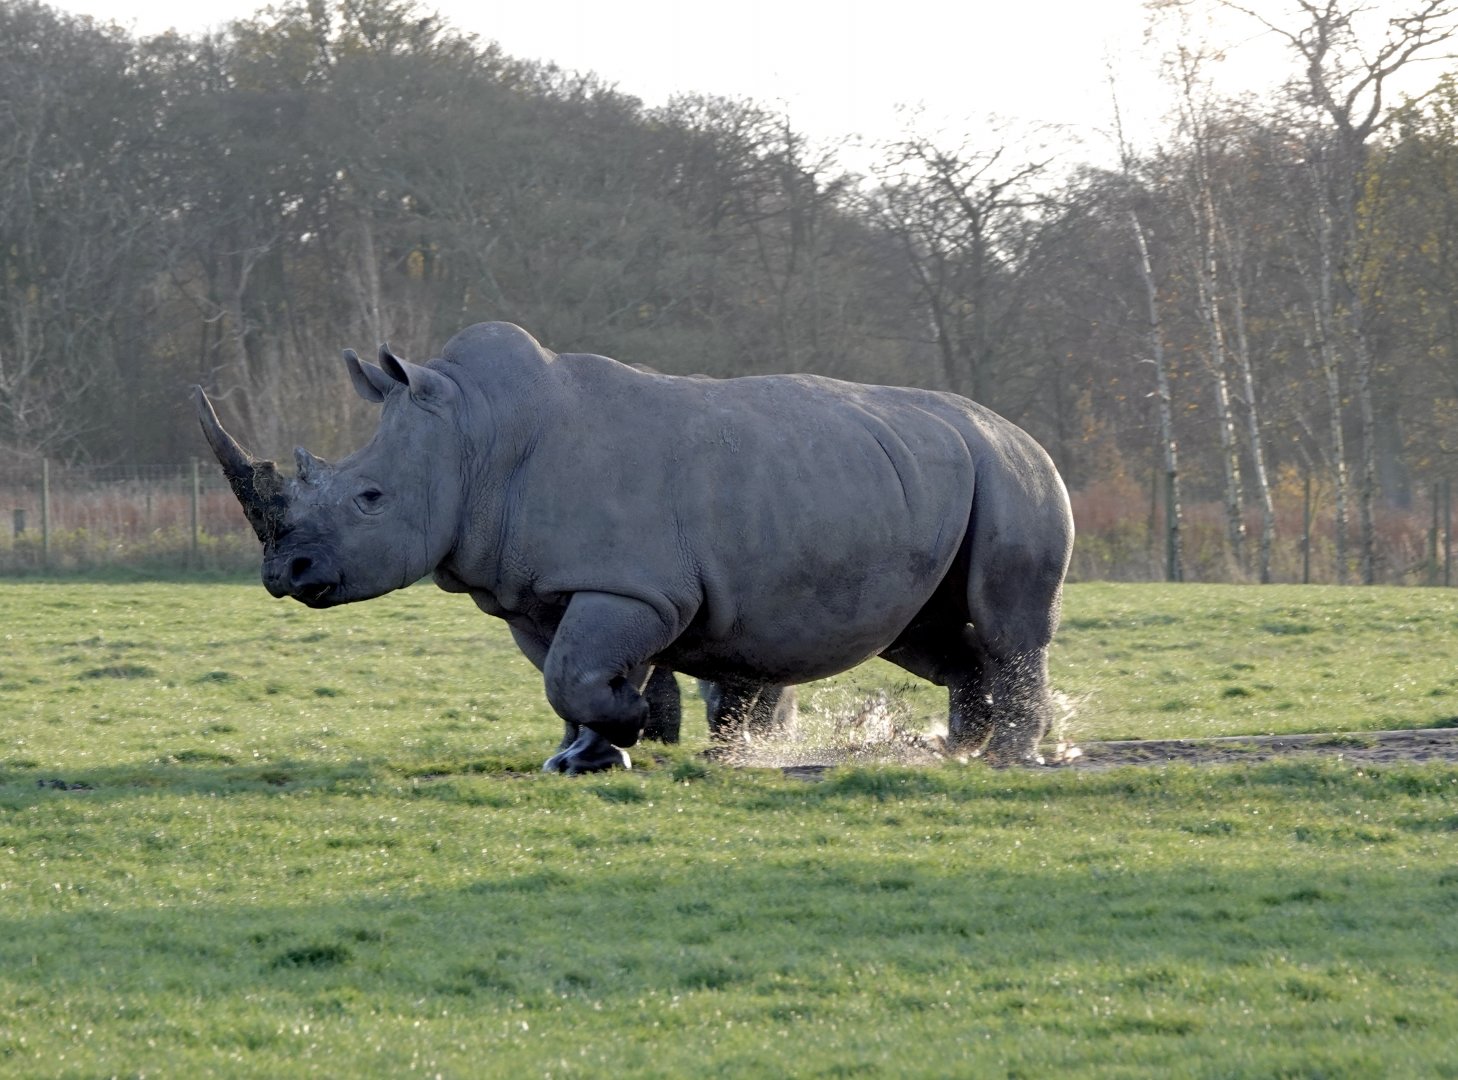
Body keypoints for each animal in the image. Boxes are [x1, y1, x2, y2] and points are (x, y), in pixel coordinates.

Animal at [196, 321, 1073, 774]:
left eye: (370, 499)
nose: (283, 572)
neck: (474, 438)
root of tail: (1019, 430)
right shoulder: (538, 588)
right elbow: (562, 676)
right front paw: (584, 758)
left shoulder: (634, 585)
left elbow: (580, 675)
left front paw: (624, 727)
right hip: (923, 476)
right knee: (924, 632)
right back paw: (962, 748)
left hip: (1012, 472)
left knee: (1006, 621)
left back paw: (1009, 760)